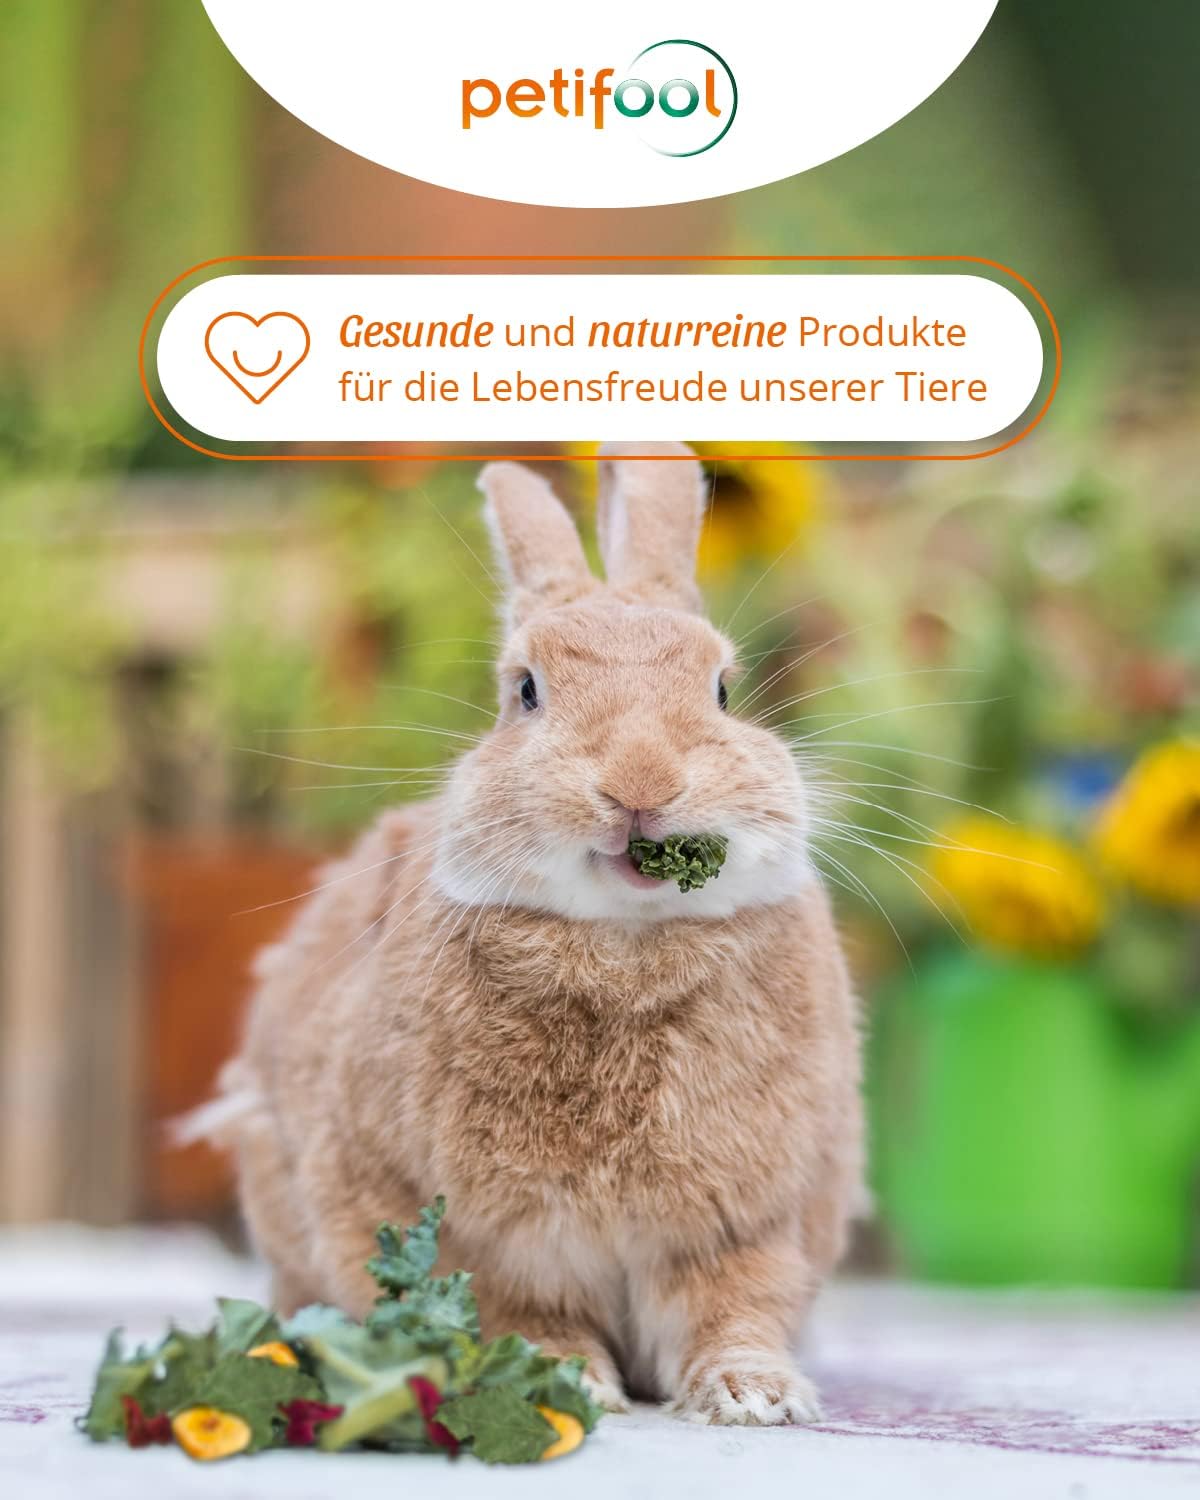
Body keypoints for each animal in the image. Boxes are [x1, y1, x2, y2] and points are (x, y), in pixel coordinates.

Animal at [209, 441, 863, 1425]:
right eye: (525, 692)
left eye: (722, 689)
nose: (641, 781)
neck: (624, 943)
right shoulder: (483, 1238)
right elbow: (522, 1314)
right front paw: (565, 1381)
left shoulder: (748, 1225)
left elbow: (734, 1308)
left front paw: (755, 1395)